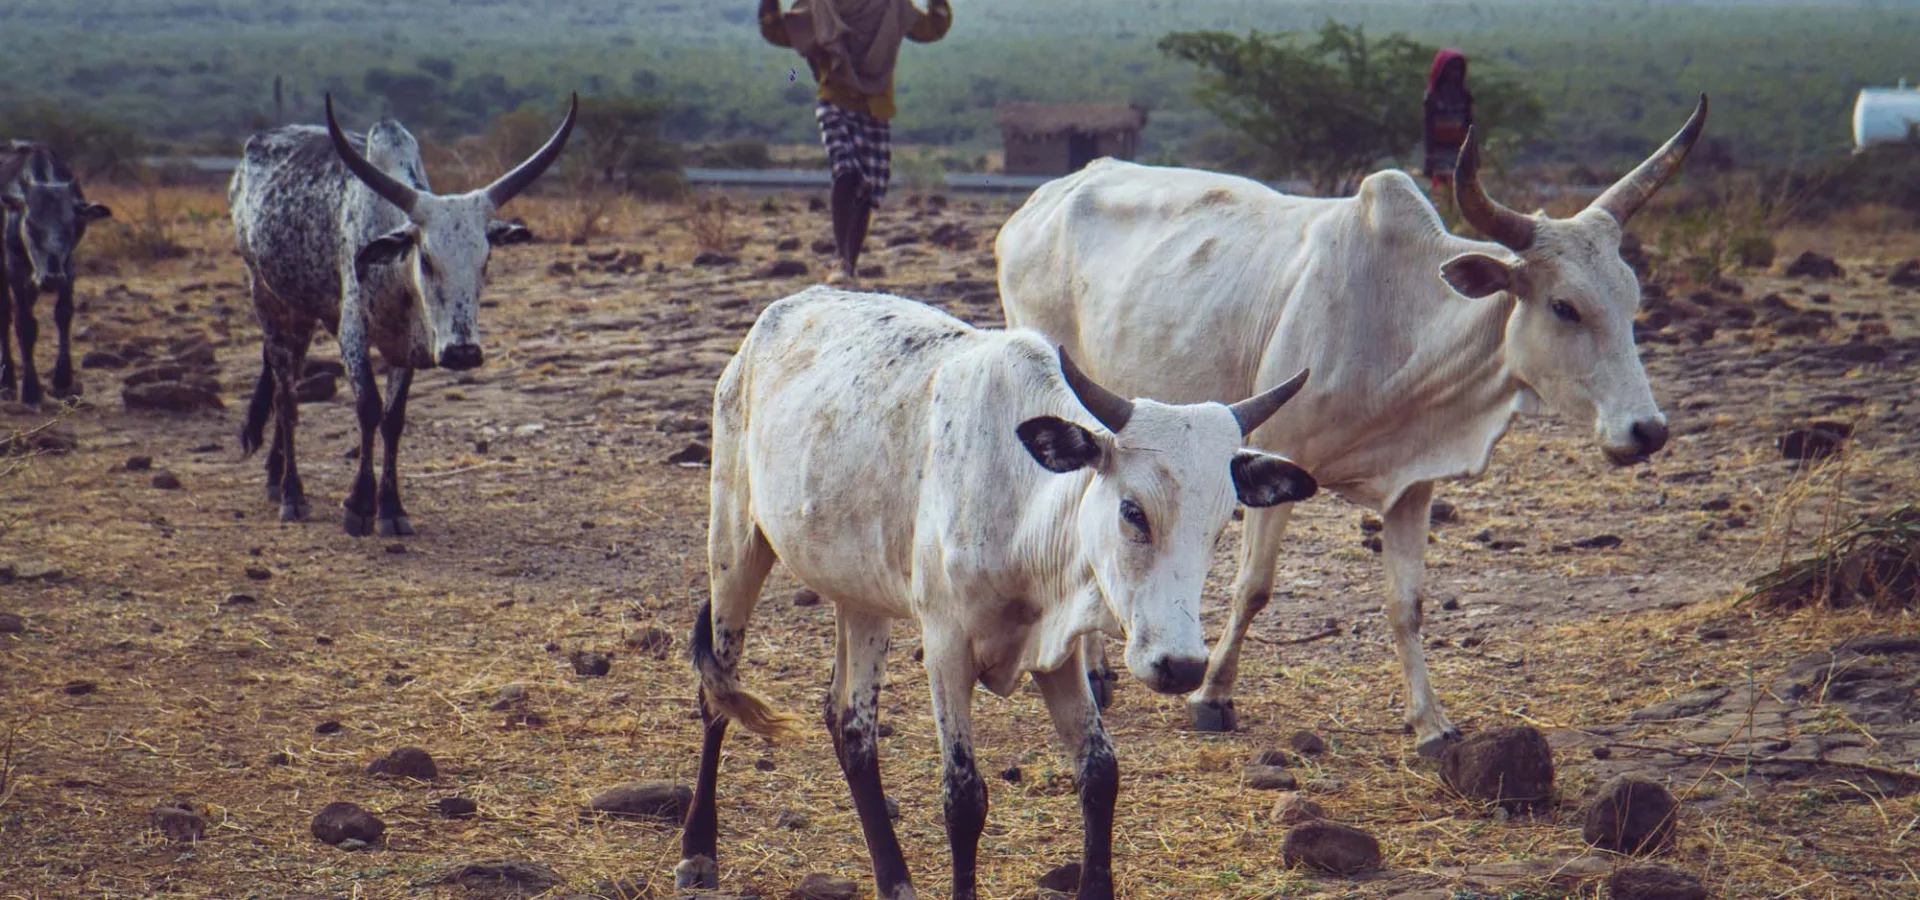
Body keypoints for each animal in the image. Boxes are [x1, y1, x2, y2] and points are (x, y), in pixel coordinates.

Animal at [2, 142, 112, 406]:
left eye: (72, 225)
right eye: (29, 224)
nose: (51, 279)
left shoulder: (69, 268)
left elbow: (64, 314)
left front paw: (62, 379)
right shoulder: (15, 270)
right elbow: (25, 325)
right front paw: (31, 389)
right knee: (5, 315)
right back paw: (7, 380)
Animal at [228, 94, 572, 535]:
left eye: (486, 258)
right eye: (425, 257)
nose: (463, 353)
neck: (394, 274)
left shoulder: (408, 345)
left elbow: (393, 419)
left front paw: (391, 508)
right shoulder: (353, 332)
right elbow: (369, 408)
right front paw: (359, 504)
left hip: (303, 313)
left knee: (281, 382)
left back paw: (275, 475)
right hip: (267, 298)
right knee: (286, 395)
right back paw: (291, 493)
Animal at [676, 287, 1319, 900]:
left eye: (1221, 523)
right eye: (1134, 510)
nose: (1182, 666)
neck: (1020, 497)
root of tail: (775, 318)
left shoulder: (1056, 654)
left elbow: (1099, 774)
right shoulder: (946, 648)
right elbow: (963, 799)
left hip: (860, 596)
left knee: (851, 725)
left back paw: (894, 880)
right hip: (734, 545)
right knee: (717, 693)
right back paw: (698, 851)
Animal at [996, 96, 1708, 758]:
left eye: (1633, 301)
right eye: (1564, 307)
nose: (1647, 430)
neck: (1399, 324)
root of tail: (1041, 201)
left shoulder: (1413, 486)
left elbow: (1407, 605)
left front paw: (1431, 724)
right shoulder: (1274, 456)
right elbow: (1253, 588)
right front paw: (1213, 696)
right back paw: (1094, 672)